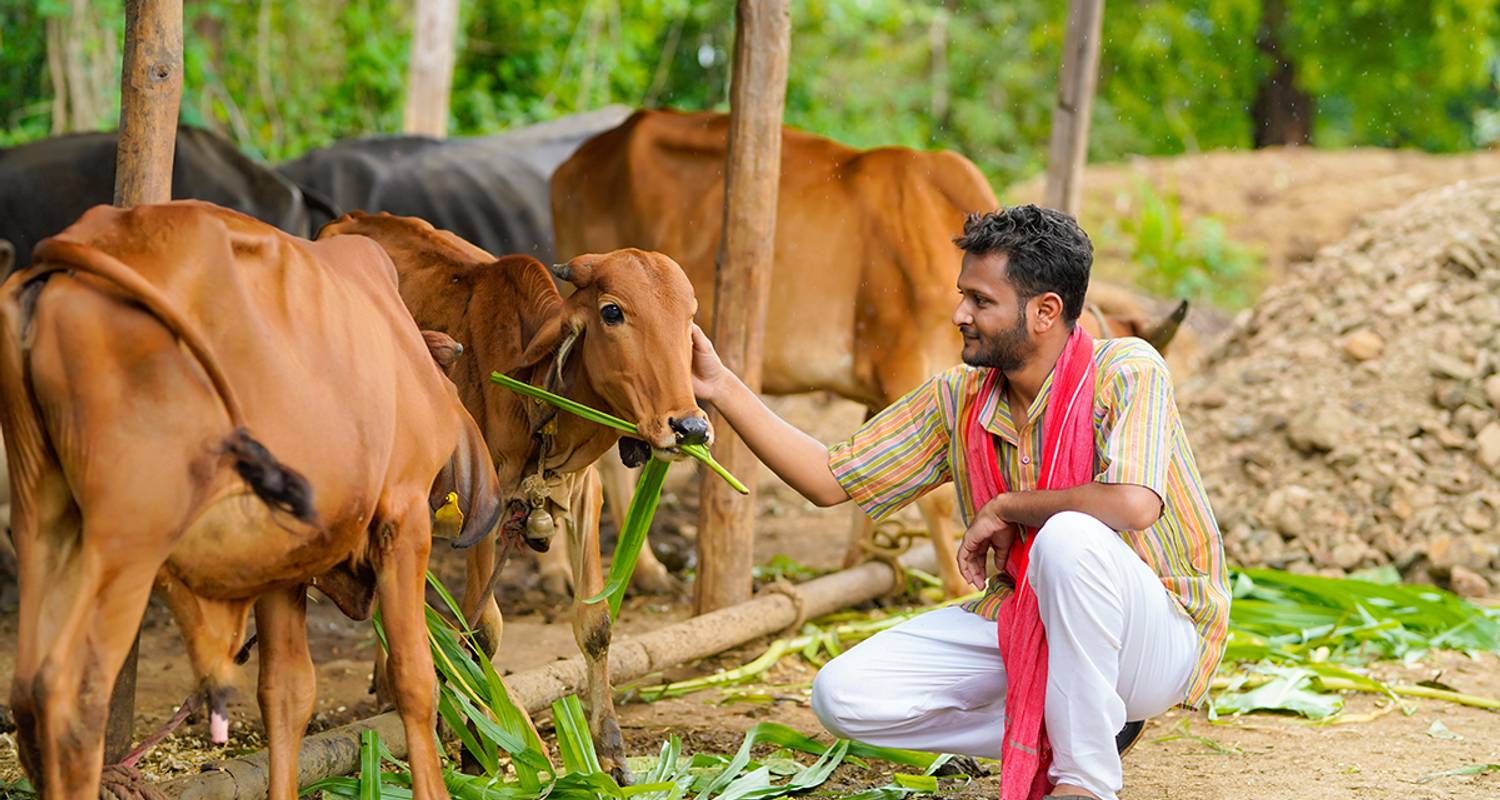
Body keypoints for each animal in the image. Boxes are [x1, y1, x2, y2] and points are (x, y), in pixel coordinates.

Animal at [0, 201, 504, 798]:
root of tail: (63, 262)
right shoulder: (402, 520)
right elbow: (415, 679)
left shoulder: (284, 566)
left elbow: (286, 693)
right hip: (130, 535)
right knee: (71, 698)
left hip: (43, 518)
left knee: (27, 693)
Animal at [315, 211, 708, 780]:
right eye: (612, 311)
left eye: (689, 317)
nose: (689, 426)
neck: (540, 405)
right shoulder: (481, 508)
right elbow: (484, 631)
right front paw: (479, 749)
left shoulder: (585, 494)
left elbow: (595, 623)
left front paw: (611, 752)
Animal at [558, 108, 1188, 594]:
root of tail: (589, 152)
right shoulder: (906, 362)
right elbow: (939, 506)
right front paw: (955, 587)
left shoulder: (889, 383)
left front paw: (860, 565)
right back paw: (628, 572)